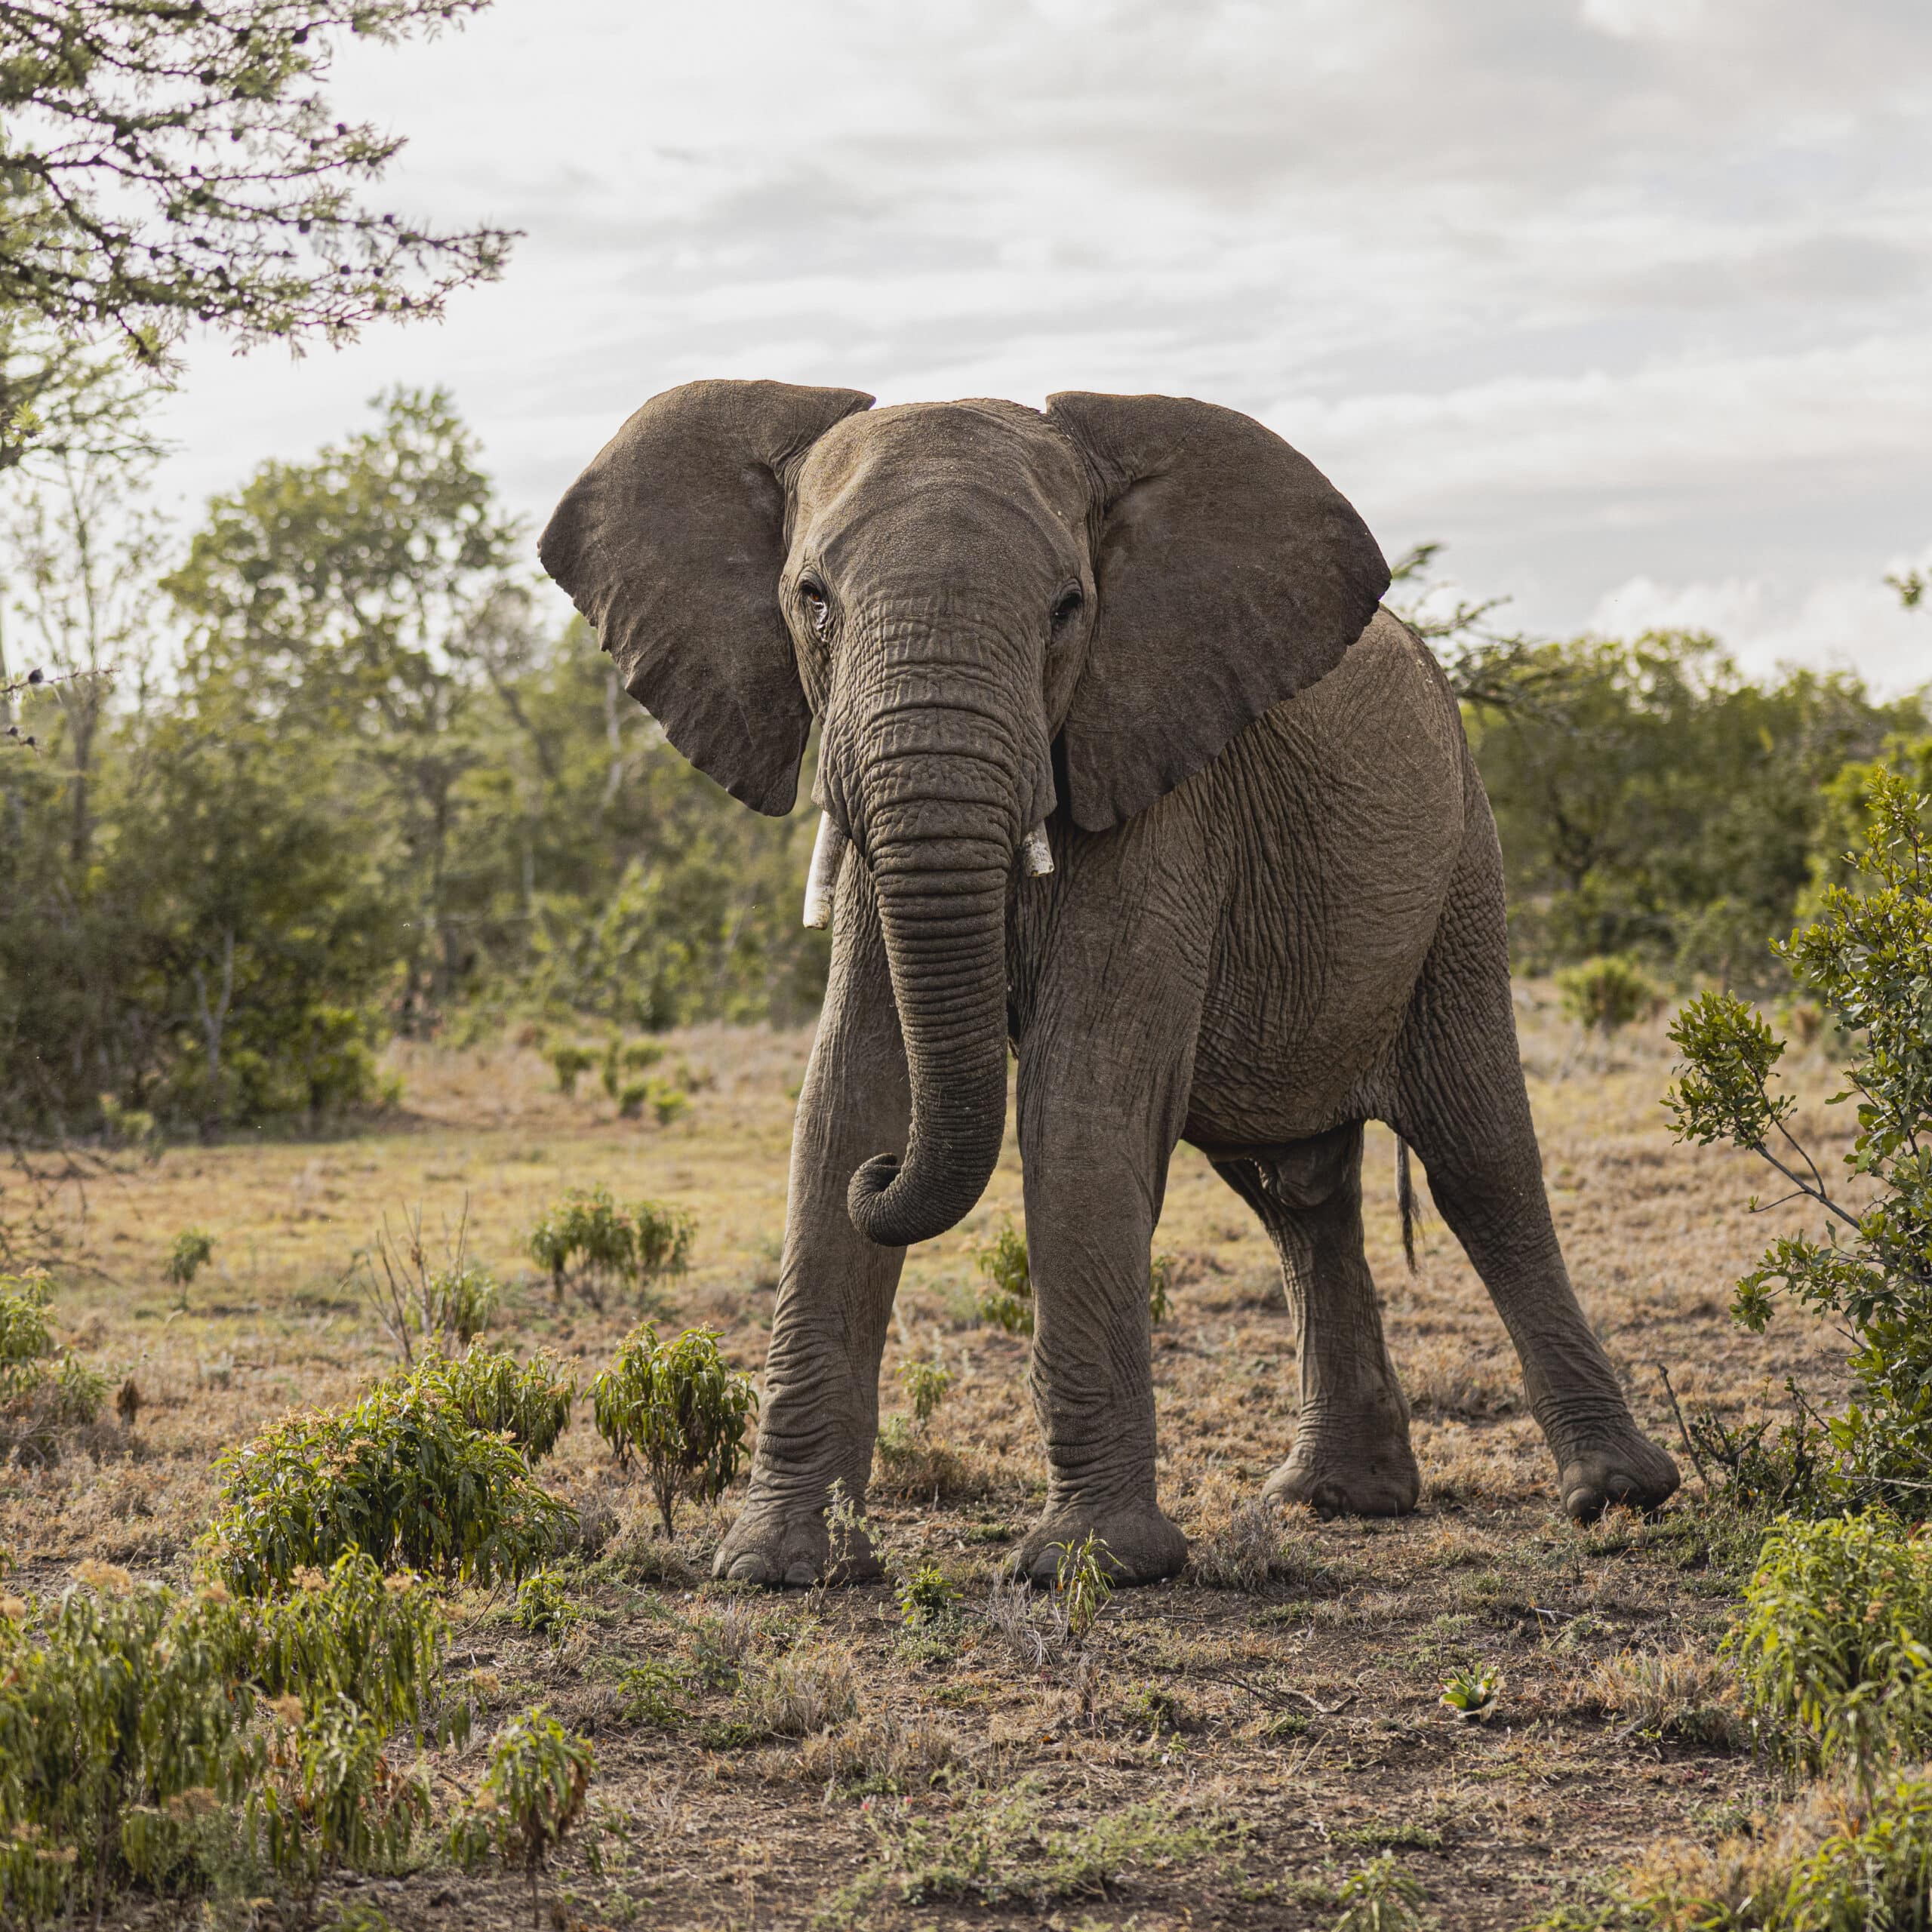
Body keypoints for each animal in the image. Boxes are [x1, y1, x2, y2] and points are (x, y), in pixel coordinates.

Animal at [540, 380, 1677, 1584]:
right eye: (811, 600)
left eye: (1068, 609)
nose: (889, 1180)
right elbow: (846, 1096)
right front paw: (781, 1569)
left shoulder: (1162, 794)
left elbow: (1082, 1105)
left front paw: (1089, 1566)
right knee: (1294, 1193)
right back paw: (1339, 1500)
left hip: (1462, 866)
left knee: (1479, 1159)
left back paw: (1612, 1495)